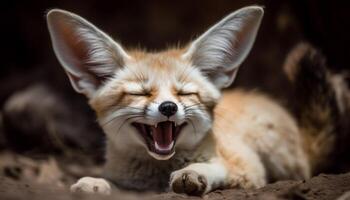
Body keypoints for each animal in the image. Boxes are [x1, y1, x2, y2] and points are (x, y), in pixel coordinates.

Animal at [45, 5, 344, 195]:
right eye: (140, 93)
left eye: (184, 93)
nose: (168, 107)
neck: (158, 172)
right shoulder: (129, 181)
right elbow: (114, 184)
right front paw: (95, 183)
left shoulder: (247, 169)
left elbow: (216, 168)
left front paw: (193, 173)